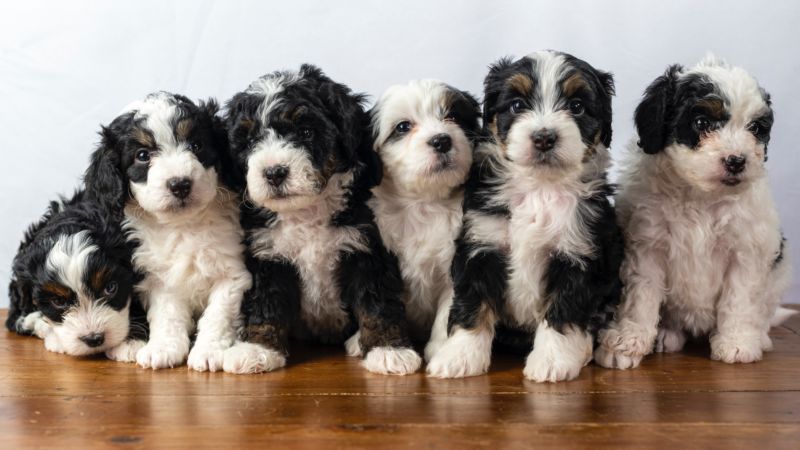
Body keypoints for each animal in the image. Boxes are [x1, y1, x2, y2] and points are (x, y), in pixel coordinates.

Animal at [219, 65, 418, 374]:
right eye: (250, 141)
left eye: (306, 131)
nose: (273, 172)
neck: (306, 212)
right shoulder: (268, 256)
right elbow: (265, 302)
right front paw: (257, 348)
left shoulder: (367, 248)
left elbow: (377, 302)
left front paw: (389, 350)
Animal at [368, 79, 482, 356]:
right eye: (403, 127)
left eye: (453, 116)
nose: (441, 140)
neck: (424, 203)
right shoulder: (383, 256)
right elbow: (383, 306)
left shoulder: (456, 263)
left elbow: (446, 311)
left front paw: (441, 348)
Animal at [424, 51, 624, 382]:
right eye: (517, 105)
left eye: (577, 107)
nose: (544, 137)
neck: (539, 189)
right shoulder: (481, 244)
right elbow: (473, 303)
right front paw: (460, 356)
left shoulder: (578, 252)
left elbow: (563, 308)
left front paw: (552, 361)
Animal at [592, 54, 792, 368]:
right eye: (702, 122)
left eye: (756, 129)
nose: (737, 161)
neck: (700, 196)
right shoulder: (647, 246)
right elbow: (640, 297)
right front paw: (626, 341)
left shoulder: (746, 251)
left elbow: (739, 298)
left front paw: (736, 342)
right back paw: (667, 333)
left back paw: (757, 336)